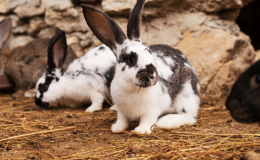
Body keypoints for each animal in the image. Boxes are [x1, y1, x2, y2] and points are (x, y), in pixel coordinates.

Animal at [82, 0, 200, 134]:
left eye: (149, 53)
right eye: (131, 59)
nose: (152, 74)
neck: (131, 87)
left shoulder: (151, 110)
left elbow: (147, 120)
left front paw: (140, 131)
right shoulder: (122, 111)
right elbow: (122, 120)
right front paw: (117, 128)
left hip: (186, 97)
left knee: (190, 117)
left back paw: (166, 122)